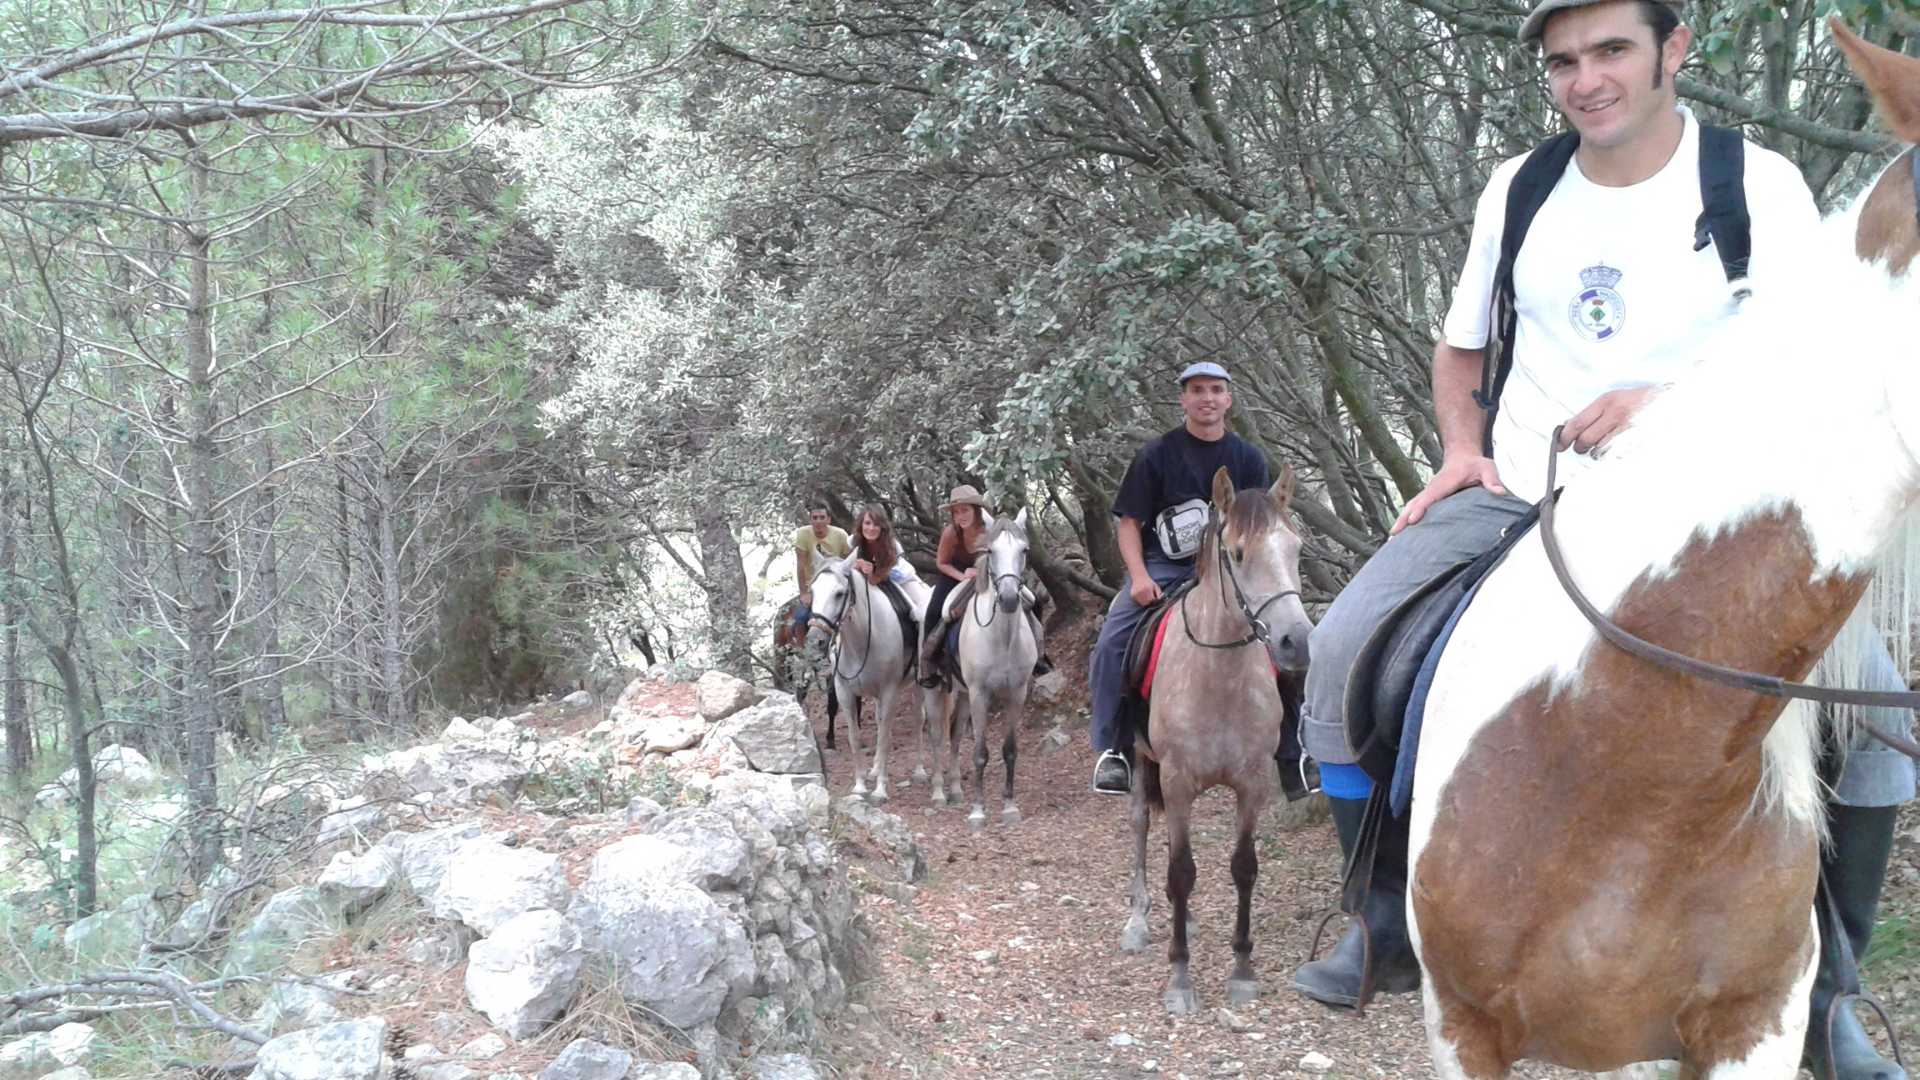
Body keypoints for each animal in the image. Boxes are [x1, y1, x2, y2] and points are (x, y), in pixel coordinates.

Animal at [802, 553, 936, 799]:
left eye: (839, 593)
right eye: (813, 591)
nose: (815, 641)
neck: (862, 639)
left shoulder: (890, 691)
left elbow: (884, 738)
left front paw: (880, 790)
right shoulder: (845, 692)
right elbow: (855, 737)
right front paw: (861, 786)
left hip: (918, 684)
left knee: (917, 719)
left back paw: (919, 771)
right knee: (880, 719)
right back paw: (874, 770)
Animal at [933, 507, 1044, 822]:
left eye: (1024, 550)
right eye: (990, 551)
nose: (1007, 598)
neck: (1001, 639)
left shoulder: (1016, 694)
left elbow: (1010, 750)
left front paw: (1009, 806)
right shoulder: (980, 694)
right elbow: (980, 752)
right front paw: (978, 811)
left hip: (962, 694)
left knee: (956, 734)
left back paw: (956, 790)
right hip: (940, 692)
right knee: (938, 736)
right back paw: (938, 793)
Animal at [1121, 466, 1313, 1014]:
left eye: (1296, 548)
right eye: (1238, 553)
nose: (1297, 642)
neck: (1218, 676)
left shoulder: (1251, 784)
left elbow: (1243, 867)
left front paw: (1243, 970)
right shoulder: (1177, 779)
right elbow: (1181, 872)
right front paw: (1180, 978)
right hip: (1142, 764)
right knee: (1143, 828)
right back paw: (1139, 921)